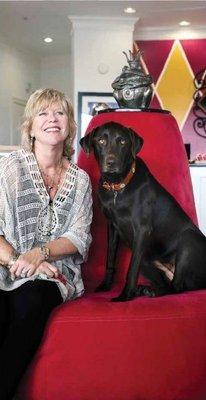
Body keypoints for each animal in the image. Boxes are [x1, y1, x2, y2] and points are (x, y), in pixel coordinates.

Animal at [80, 122, 206, 300]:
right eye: (101, 141)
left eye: (123, 142)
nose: (111, 162)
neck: (117, 187)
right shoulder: (112, 227)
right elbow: (110, 259)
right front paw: (106, 285)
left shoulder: (142, 230)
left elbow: (132, 269)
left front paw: (125, 296)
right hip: (145, 257)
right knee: (167, 283)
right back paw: (147, 290)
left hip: (188, 240)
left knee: (177, 287)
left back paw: (148, 291)